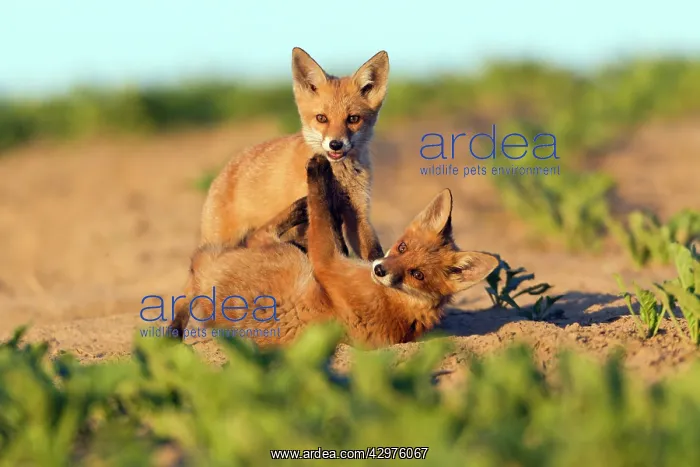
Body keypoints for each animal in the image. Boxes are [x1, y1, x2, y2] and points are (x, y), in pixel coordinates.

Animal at [168, 154, 500, 349]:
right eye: (402, 247)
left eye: (417, 274)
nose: (380, 269)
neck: (402, 304)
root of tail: (202, 272)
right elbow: (334, 229)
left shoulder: (325, 262)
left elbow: (322, 216)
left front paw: (319, 176)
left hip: (284, 257)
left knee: (258, 234)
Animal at [199, 47, 390, 260]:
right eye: (321, 118)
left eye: (353, 119)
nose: (335, 144)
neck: (336, 179)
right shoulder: (309, 218)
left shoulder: (357, 213)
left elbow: (373, 254)